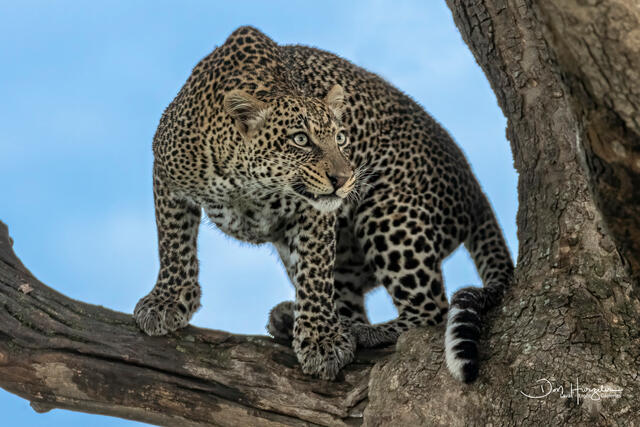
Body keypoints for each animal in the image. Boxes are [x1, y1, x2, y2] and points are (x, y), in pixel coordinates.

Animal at [133, 26, 514, 383]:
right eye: (301, 140)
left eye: (341, 138)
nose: (345, 179)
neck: (245, 183)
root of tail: (474, 185)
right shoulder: (166, 175)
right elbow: (173, 245)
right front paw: (167, 301)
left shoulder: (314, 212)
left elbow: (315, 274)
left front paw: (322, 341)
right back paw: (301, 319)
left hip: (388, 211)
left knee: (432, 312)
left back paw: (363, 332)